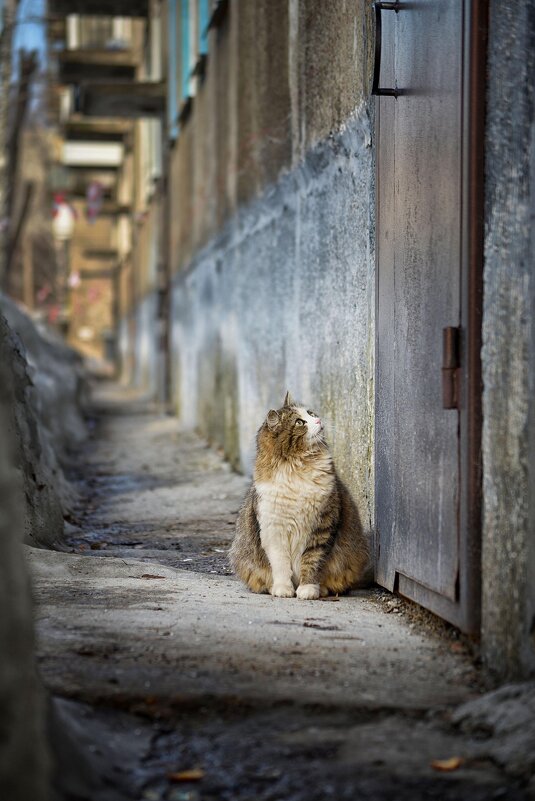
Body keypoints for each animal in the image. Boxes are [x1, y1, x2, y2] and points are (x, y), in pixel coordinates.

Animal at [228, 390, 370, 596]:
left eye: (310, 413)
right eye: (299, 422)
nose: (318, 420)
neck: (297, 468)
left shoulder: (322, 526)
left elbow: (311, 561)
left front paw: (307, 589)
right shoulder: (274, 529)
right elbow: (280, 565)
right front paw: (283, 589)